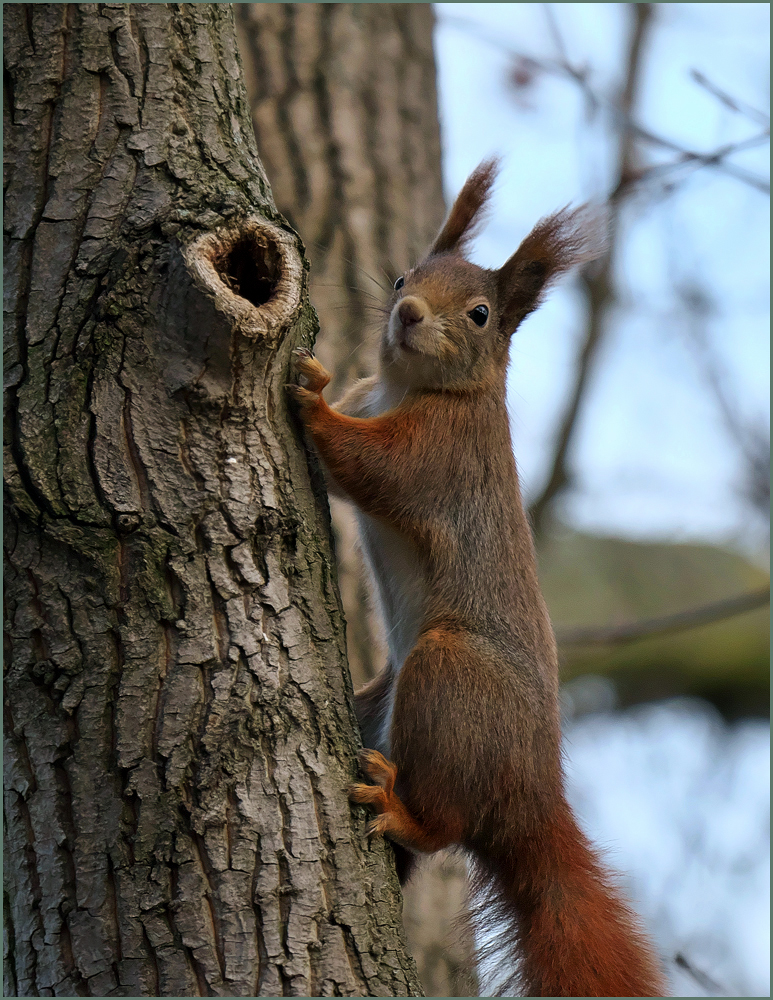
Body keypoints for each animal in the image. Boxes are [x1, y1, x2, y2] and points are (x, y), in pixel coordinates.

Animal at [286, 160, 668, 996]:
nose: (406, 314)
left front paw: (310, 400)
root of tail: (534, 801)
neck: (416, 389)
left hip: (447, 676)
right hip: (381, 703)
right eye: (404, 273)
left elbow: (367, 466)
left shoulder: (439, 457)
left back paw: (404, 812)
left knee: (446, 828)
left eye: (481, 314)